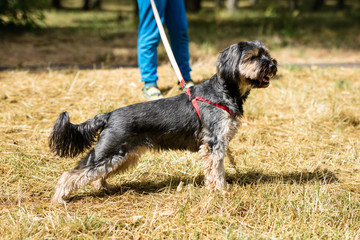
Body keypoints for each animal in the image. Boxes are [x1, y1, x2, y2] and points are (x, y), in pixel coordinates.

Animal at [49, 40, 278, 202]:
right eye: (253, 57)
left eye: (267, 54)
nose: (272, 64)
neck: (224, 92)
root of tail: (108, 115)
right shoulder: (214, 145)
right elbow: (216, 171)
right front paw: (221, 190)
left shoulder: (218, 145)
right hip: (109, 150)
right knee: (72, 174)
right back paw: (59, 198)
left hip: (122, 155)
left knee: (95, 174)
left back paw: (103, 188)